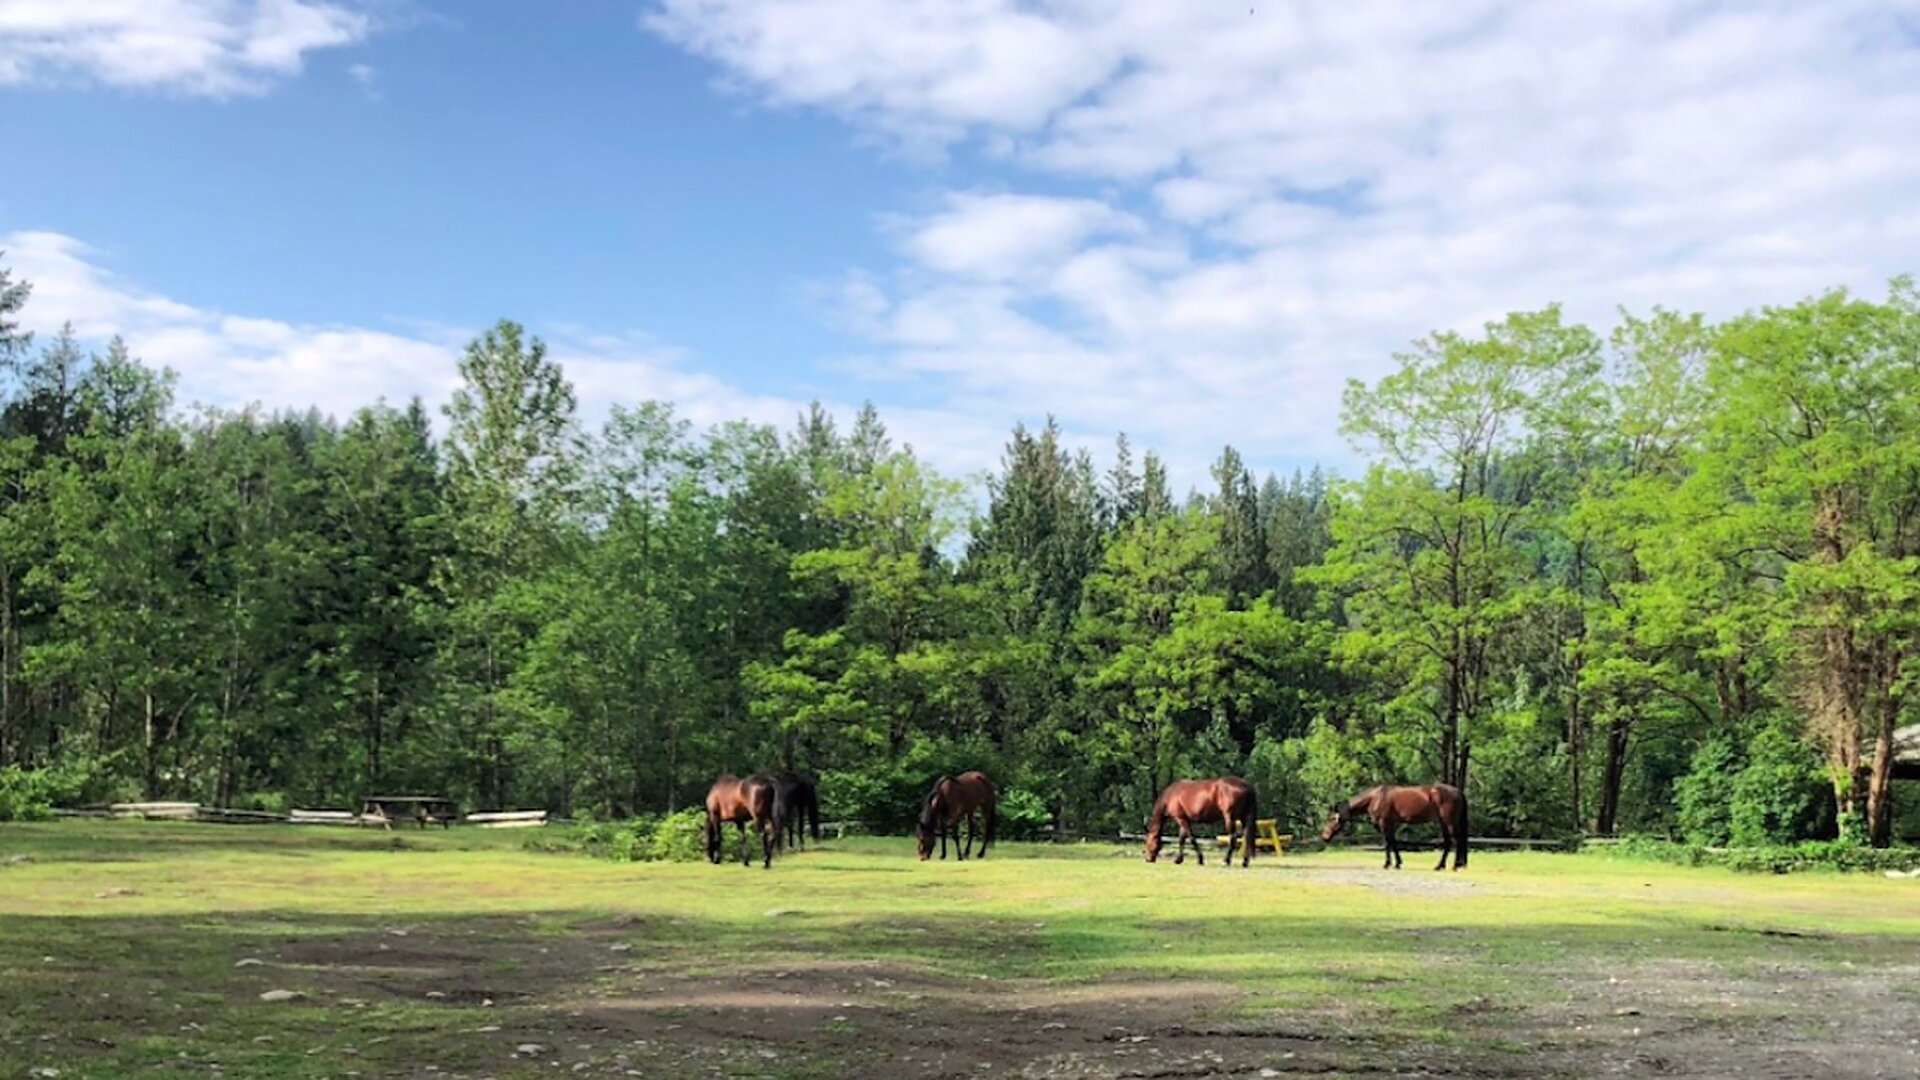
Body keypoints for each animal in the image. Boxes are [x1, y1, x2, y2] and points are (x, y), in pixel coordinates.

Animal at [1321, 783, 1469, 871]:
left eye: (1331, 818)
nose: (1324, 836)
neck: (1376, 797)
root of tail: (1457, 791)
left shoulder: (1384, 823)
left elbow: (1387, 843)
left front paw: (1387, 864)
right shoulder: (1391, 824)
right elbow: (1394, 842)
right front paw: (1398, 863)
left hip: (1449, 822)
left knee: (1456, 841)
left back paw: (1455, 865)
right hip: (1444, 823)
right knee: (1449, 842)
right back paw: (1441, 866)